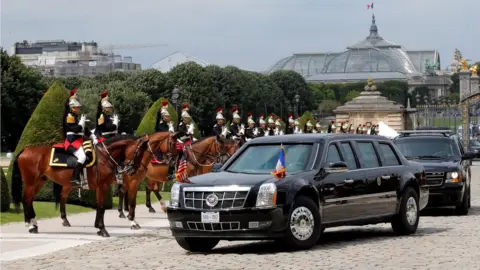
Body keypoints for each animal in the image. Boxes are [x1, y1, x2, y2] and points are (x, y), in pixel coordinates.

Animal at [11, 135, 150, 236]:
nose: (132, 171)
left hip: (40, 181)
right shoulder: (102, 186)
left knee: (30, 200)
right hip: (30, 182)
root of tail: (26, 149)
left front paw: (99, 227)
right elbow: (101, 207)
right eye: (139, 152)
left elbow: (100, 207)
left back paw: (34, 224)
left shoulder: (106, 186)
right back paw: (30, 225)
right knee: (26, 200)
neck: (104, 156)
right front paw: (102, 229)